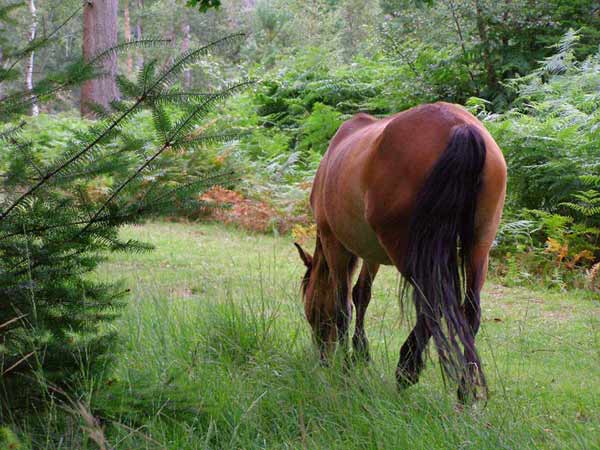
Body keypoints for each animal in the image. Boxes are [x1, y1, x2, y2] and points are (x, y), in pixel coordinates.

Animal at [296, 102, 506, 400]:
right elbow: (362, 294)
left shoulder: (334, 243)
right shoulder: (370, 252)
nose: (321, 355)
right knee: (470, 312)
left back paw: (407, 368)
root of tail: (460, 126)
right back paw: (464, 391)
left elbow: (342, 306)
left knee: (432, 306)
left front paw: (344, 366)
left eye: (310, 307)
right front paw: (359, 355)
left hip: (410, 253)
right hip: (479, 247)